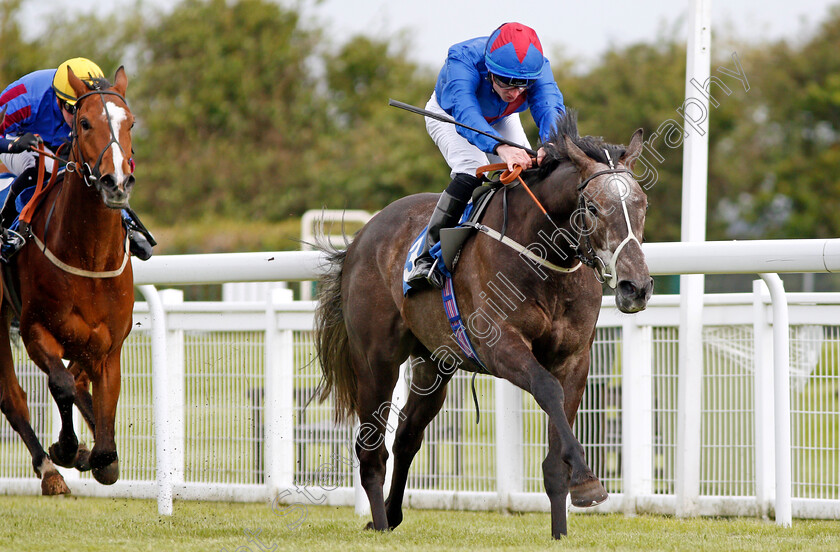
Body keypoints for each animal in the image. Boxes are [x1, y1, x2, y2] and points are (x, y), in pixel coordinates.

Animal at [0, 67, 136, 494]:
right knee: (12, 397)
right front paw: (66, 448)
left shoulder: (108, 346)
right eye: (85, 122)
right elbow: (61, 383)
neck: (88, 257)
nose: (116, 183)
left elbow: (98, 416)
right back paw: (50, 470)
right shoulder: (35, 330)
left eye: (131, 123)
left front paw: (98, 453)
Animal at [318, 112, 652, 540]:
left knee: (407, 436)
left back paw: (391, 515)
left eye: (641, 203)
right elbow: (546, 388)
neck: (544, 258)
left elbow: (555, 451)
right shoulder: (499, 347)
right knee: (371, 449)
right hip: (376, 361)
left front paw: (562, 526)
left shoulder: (575, 358)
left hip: (434, 364)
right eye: (593, 207)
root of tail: (361, 238)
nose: (636, 287)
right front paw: (588, 482)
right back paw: (378, 522)